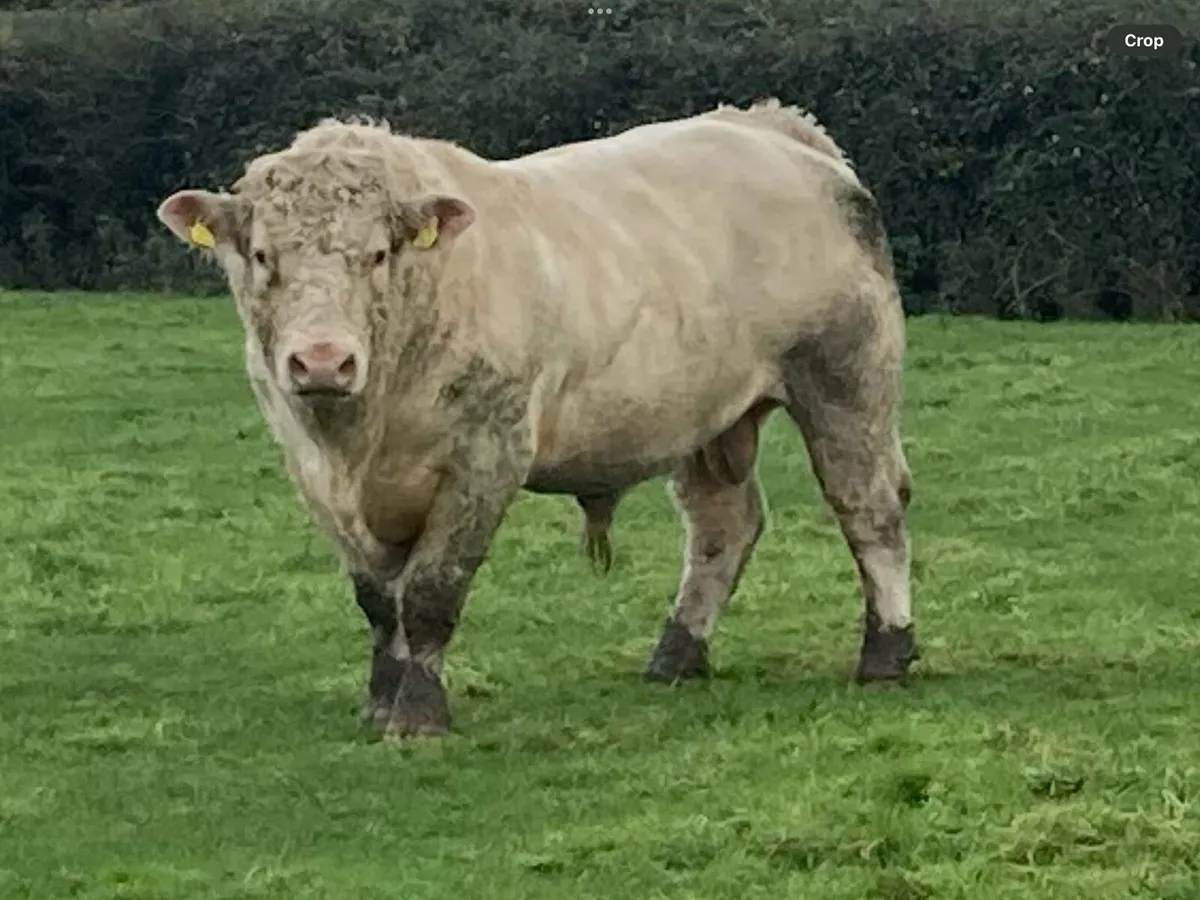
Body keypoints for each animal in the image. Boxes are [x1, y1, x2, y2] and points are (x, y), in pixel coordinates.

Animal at [155, 98, 917, 741]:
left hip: (845, 379)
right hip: (707, 414)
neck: (361, 433)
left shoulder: (487, 454)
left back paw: (887, 652)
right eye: (263, 255)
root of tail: (773, 128)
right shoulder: (311, 470)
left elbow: (429, 592)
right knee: (723, 525)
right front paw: (379, 701)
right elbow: (377, 599)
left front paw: (419, 715)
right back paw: (676, 655)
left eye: (377, 254)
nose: (322, 361)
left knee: (870, 506)